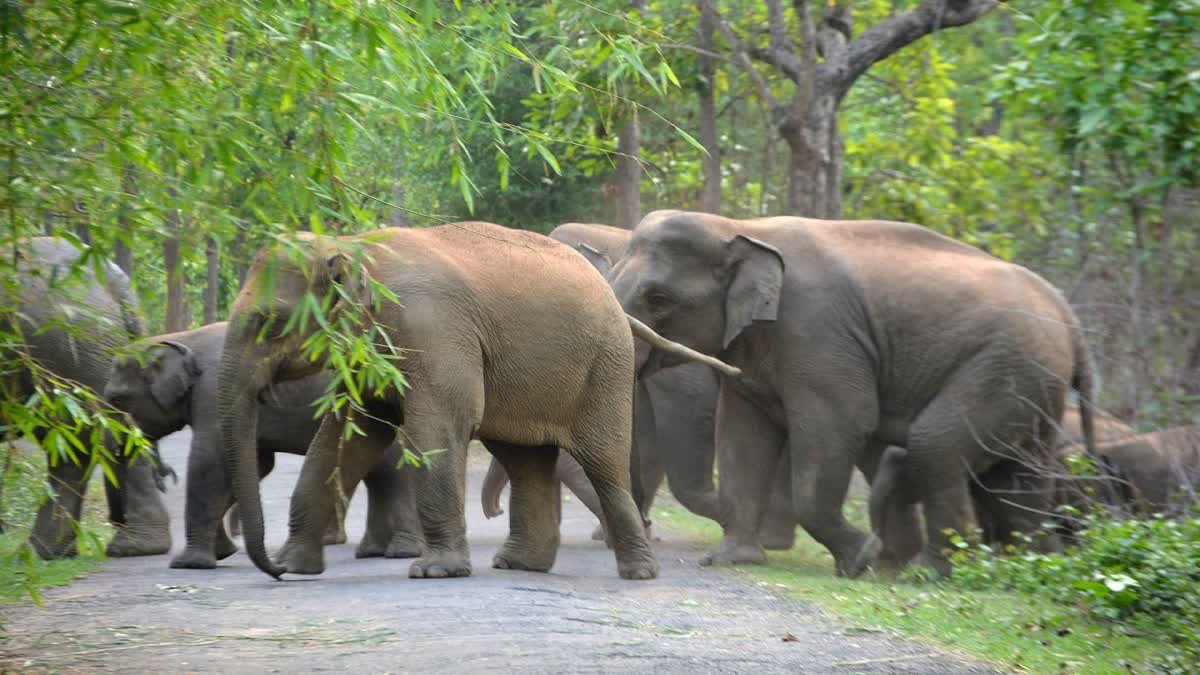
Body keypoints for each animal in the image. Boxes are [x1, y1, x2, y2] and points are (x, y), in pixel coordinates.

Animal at [103, 319, 424, 566]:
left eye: (117, 399)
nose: (112, 547)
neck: (181, 337)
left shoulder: (212, 393)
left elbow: (208, 461)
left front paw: (187, 564)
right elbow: (253, 466)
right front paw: (222, 553)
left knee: (392, 468)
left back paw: (401, 552)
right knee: (380, 472)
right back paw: (373, 551)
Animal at [220, 222, 734, 578]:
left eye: (270, 323)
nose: (272, 570)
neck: (354, 244)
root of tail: (616, 302)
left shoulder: (434, 333)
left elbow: (438, 426)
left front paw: (434, 572)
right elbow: (347, 436)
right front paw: (297, 565)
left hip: (605, 366)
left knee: (602, 462)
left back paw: (638, 573)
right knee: (525, 460)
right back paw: (520, 565)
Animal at [609, 208, 1099, 571]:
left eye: (658, 299)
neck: (739, 227)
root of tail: (1070, 317)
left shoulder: (818, 332)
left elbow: (840, 424)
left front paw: (860, 558)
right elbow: (742, 436)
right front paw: (732, 559)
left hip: (1007, 364)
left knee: (937, 445)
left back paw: (930, 571)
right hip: (1034, 384)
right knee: (1019, 474)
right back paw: (1027, 567)